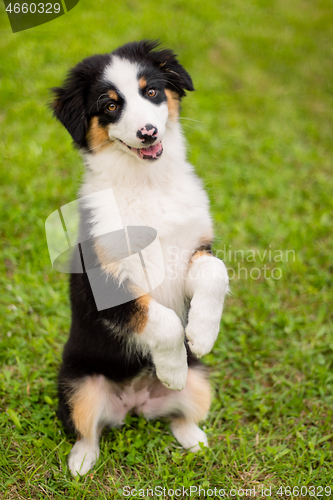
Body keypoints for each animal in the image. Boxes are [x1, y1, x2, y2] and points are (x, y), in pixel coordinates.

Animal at [51, 40, 228, 476]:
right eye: (110, 105)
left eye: (151, 91)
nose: (148, 132)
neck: (147, 184)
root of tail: (133, 404)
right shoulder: (104, 280)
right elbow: (160, 319)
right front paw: (172, 367)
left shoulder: (194, 248)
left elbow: (215, 272)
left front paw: (201, 334)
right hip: (77, 383)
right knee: (87, 429)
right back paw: (80, 464)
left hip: (203, 381)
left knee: (180, 415)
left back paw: (194, 439)